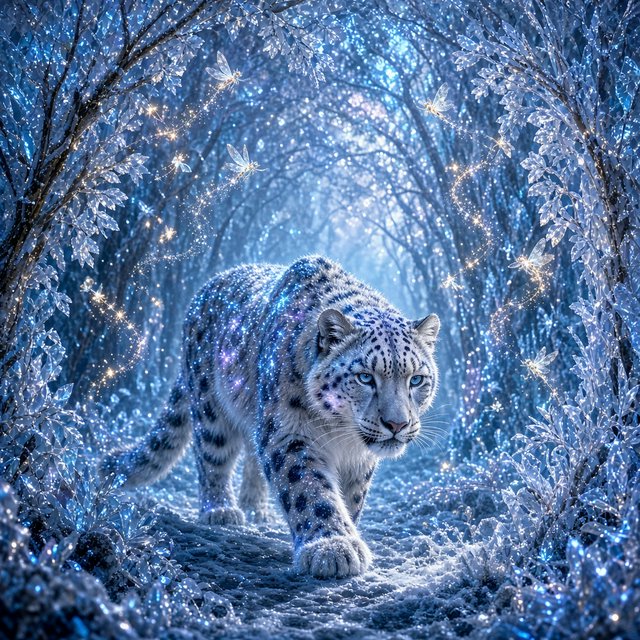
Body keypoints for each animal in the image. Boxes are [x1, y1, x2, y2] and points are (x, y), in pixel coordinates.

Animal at [101, 255, 440, 578]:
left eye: (416, 379)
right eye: (365, 377)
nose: (397, 424)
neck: (340, 433)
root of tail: (203, 291)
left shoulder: (359, 458)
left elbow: (352, 497)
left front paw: (347, 532)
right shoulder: (288, 433)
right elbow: (309, 488)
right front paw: (333, 547)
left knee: (251, 457)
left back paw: (255, 508)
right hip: (210, 407)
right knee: (212, 457)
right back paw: (221, 511)